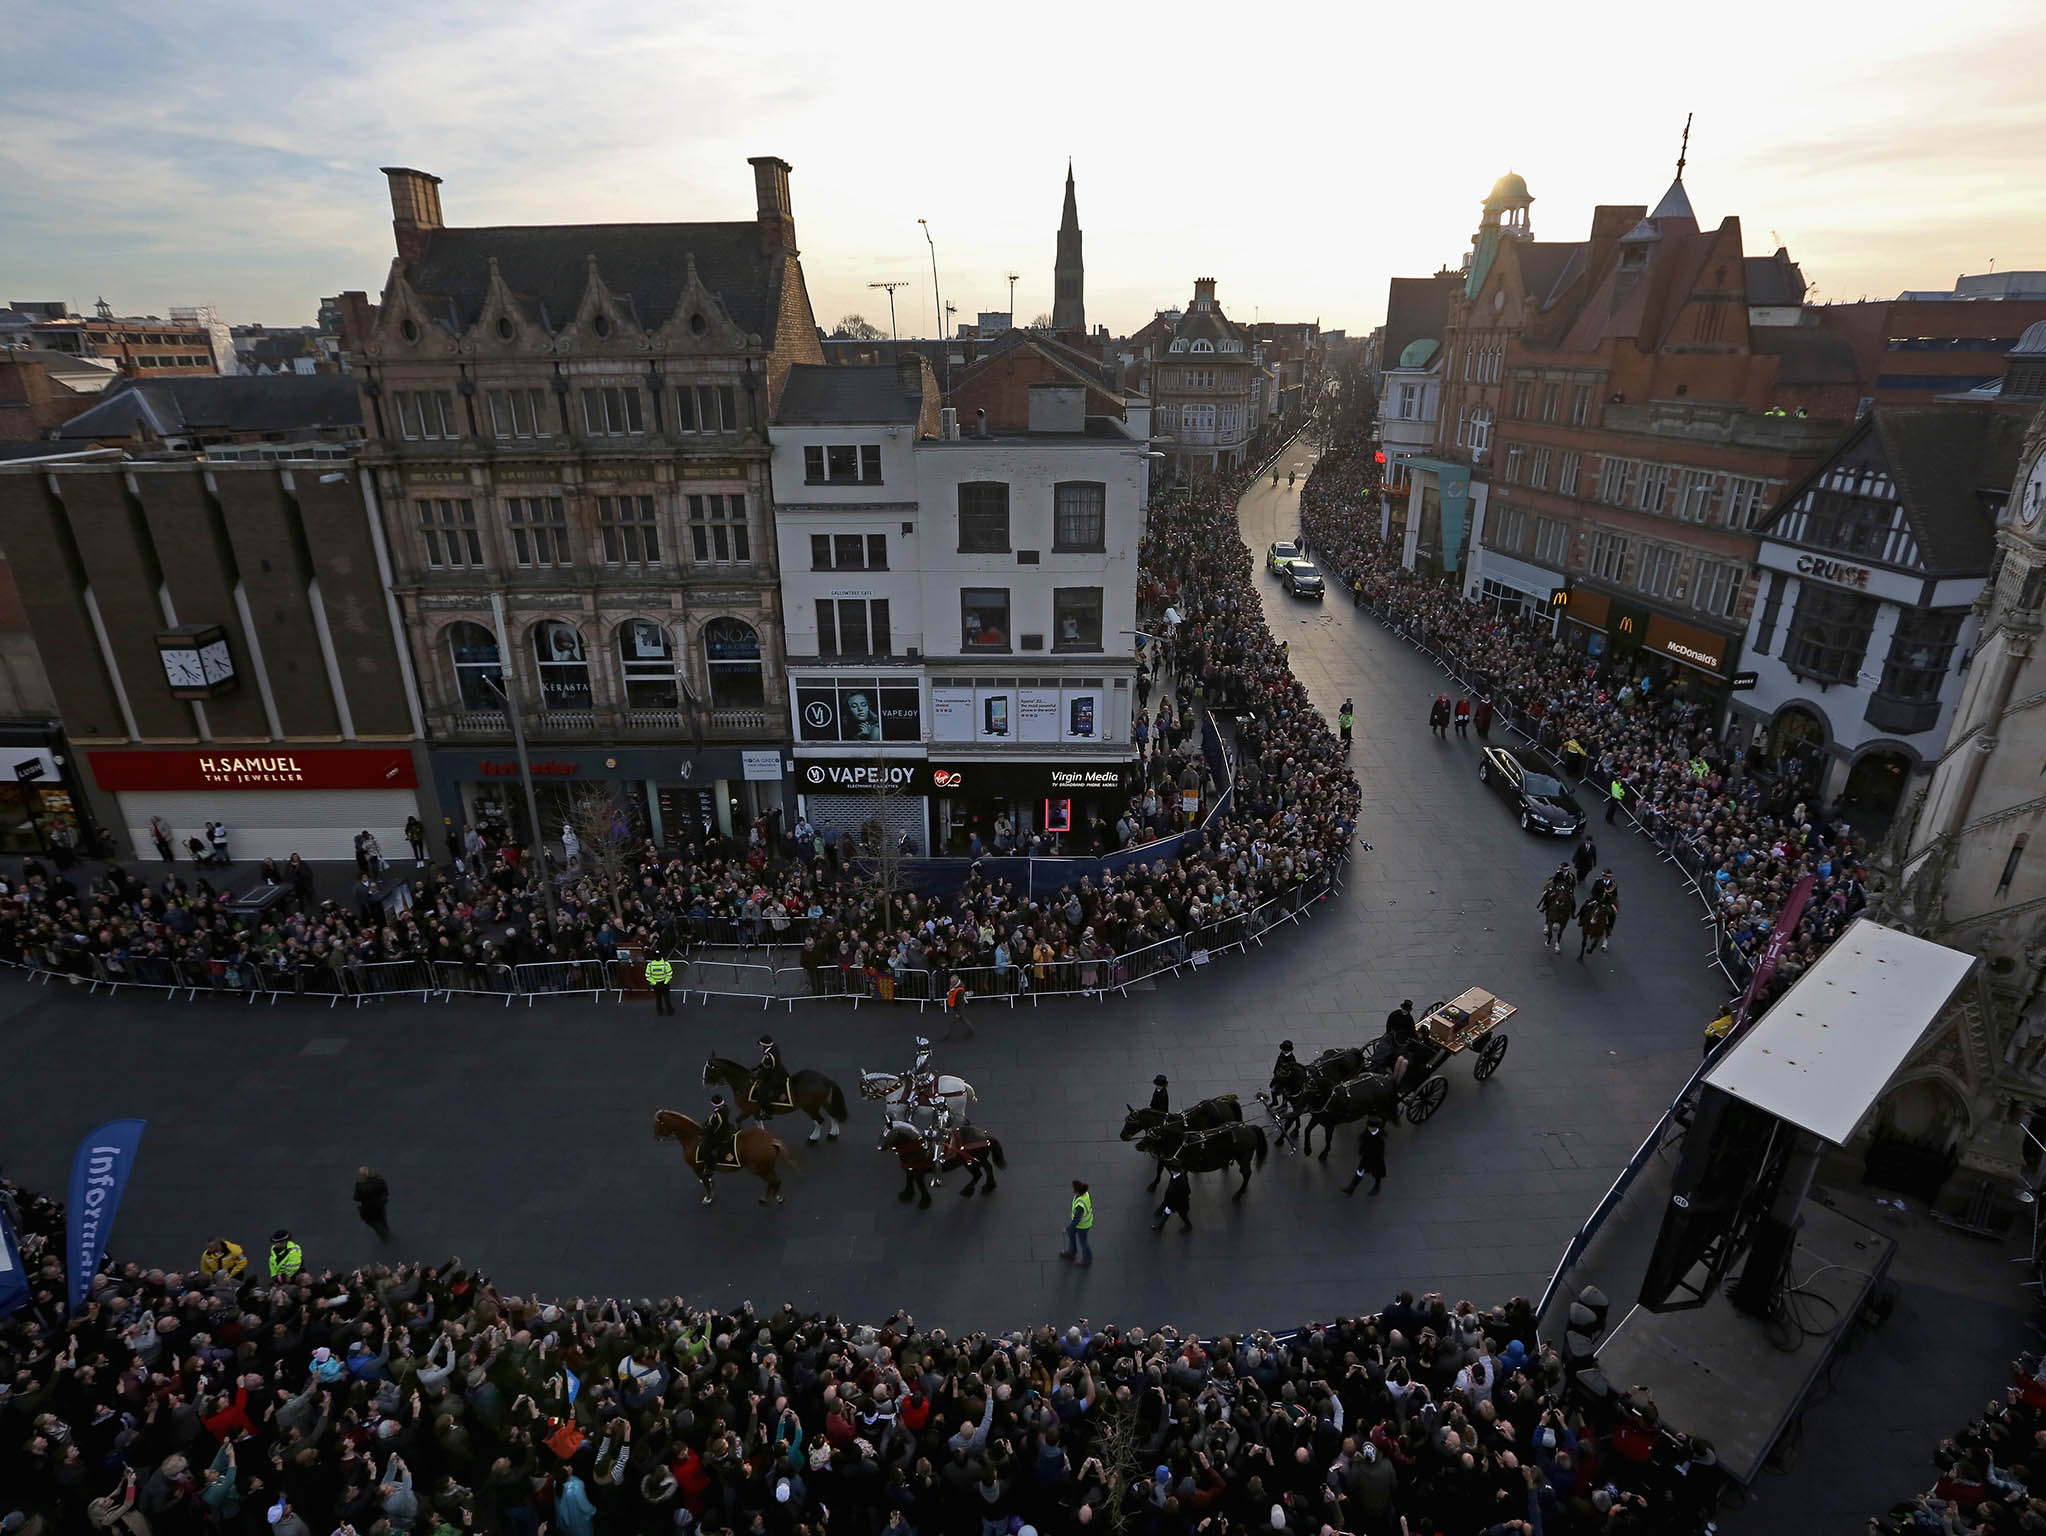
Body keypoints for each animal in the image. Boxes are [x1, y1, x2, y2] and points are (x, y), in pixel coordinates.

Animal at [654, 1112, 789, 1210]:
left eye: (659, 1124)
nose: (656, 1137)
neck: (693, 1139)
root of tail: (771, 1140)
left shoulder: (697, 1169)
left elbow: (706, 1184)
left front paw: (708, 1198)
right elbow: (708, 1179)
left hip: (761, 1169)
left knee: (774, 1181)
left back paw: (773, 1198)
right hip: (767, 1168)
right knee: (774, 1182)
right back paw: (769, 1197)